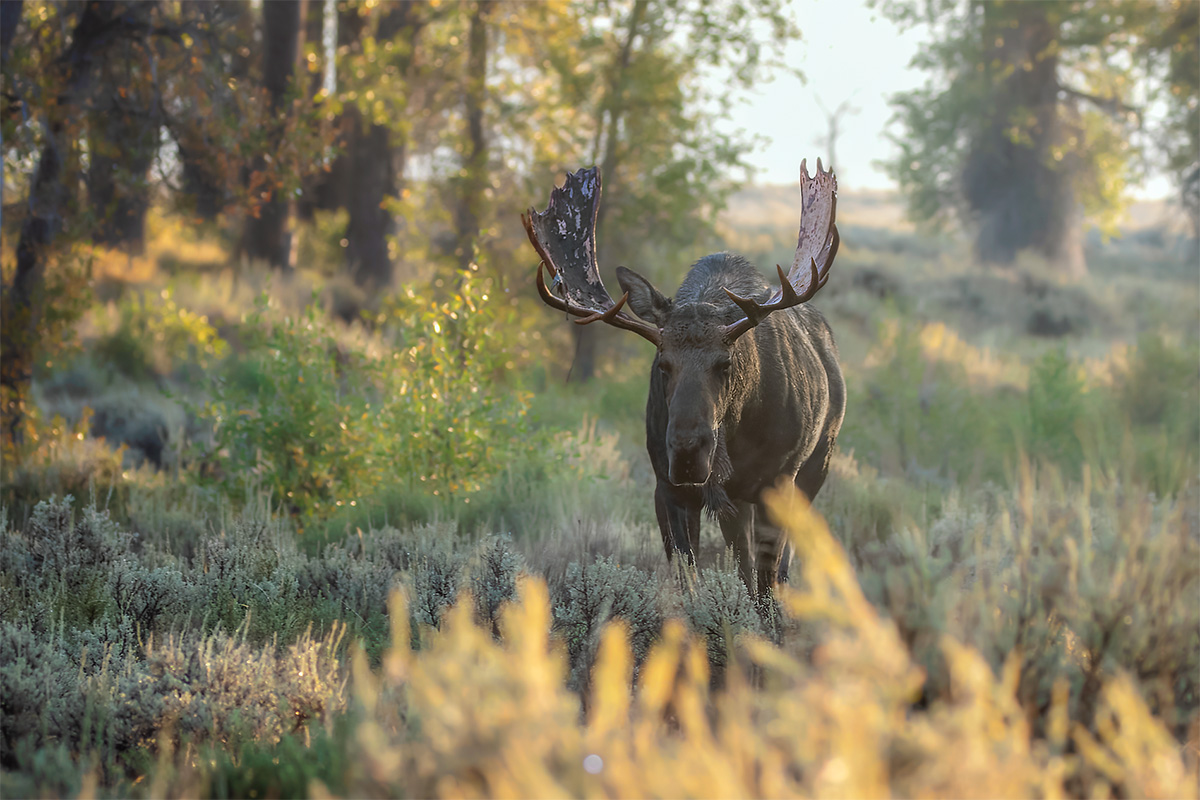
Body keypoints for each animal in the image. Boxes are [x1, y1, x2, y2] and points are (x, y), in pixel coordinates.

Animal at [522, 160, 844, 600]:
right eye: (663, 363)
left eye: (725, 363)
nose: (689, 451)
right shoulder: (668, 489)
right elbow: (688, 582)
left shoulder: (776, 485)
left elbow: (765, 589)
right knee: (740, 553)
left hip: (816, 466)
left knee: (781, 564)